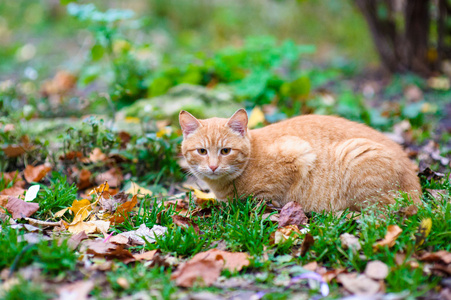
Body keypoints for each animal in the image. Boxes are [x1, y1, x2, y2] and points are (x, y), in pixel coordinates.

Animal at [178, 108, 422, 211]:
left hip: (356, 155)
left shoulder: (299, 154)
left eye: (226, 151)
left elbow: (266, 196)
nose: (212, 166)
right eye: (202, 151)